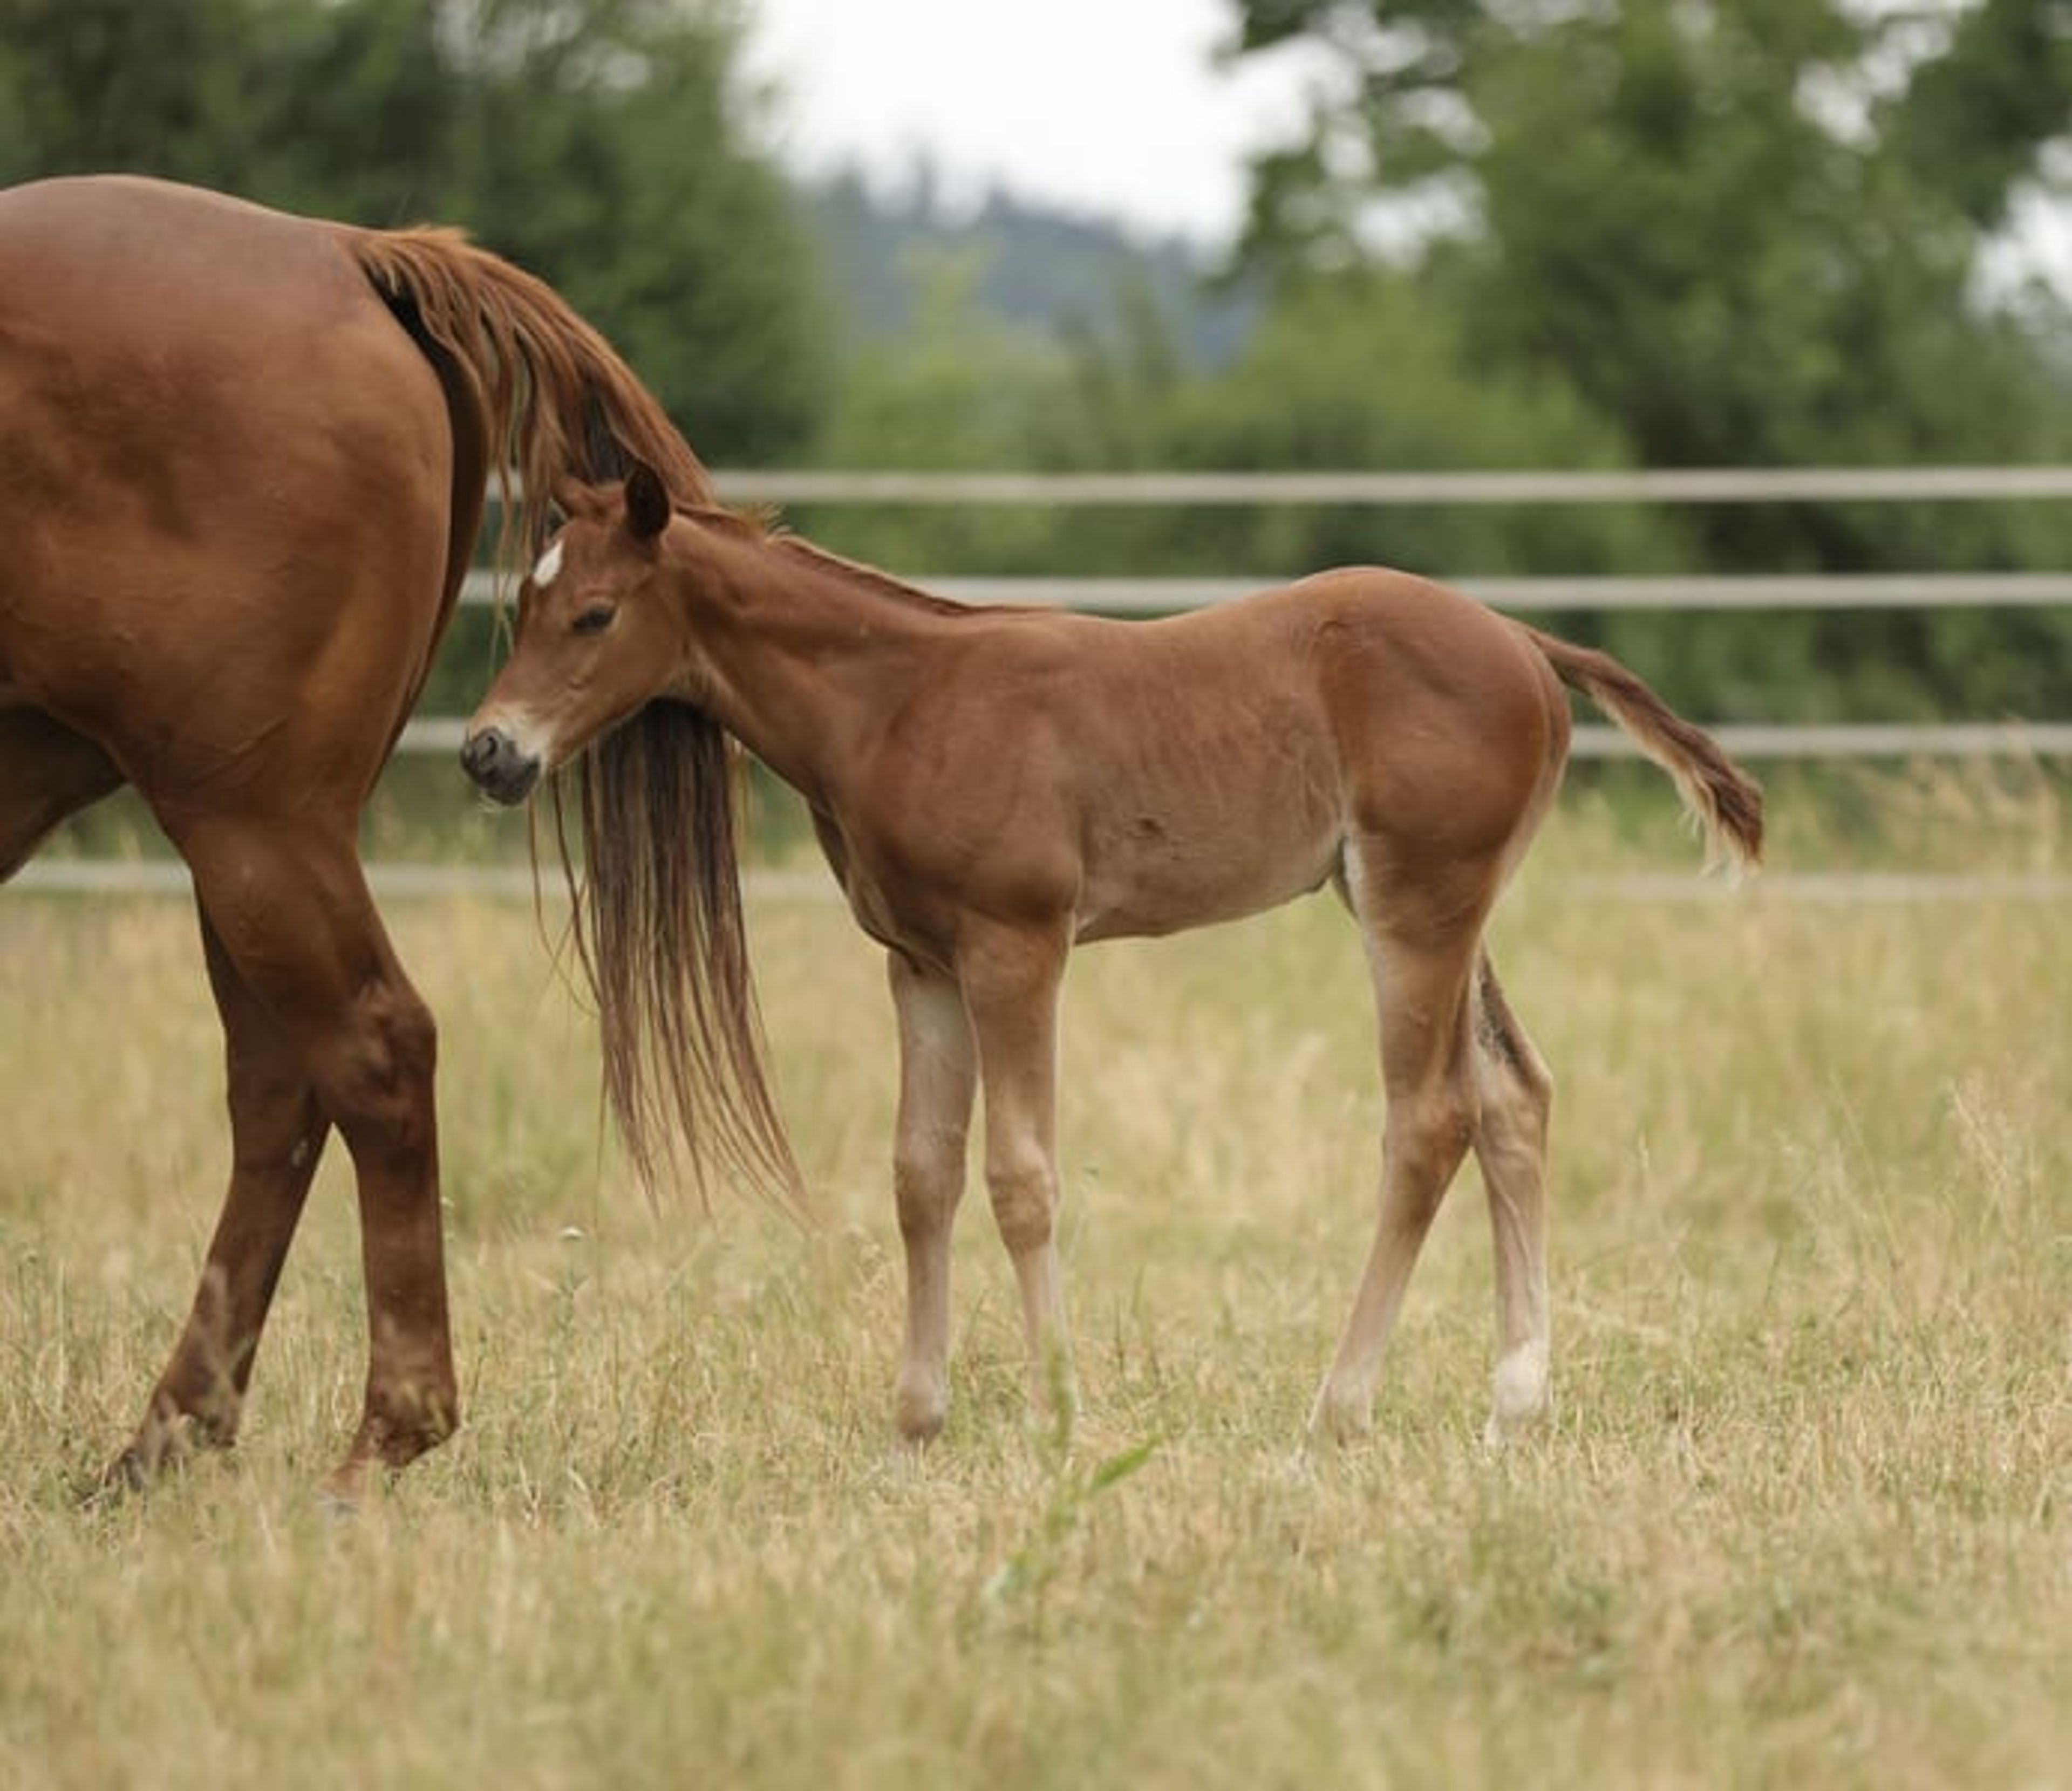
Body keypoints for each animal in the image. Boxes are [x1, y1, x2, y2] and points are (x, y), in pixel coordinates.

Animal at [0, 175, 732, 1498]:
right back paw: (170, 1438)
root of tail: (350, 253)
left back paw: (383, 1434)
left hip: (253, 820)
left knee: (372, 1051)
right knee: (282, 1087)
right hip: (251, 835)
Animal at [461, 465, 1764, 1446]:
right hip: (1432, 905)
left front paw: (1058, 1412)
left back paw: (1340, 1407)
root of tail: (1527, 643)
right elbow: (920, 1174)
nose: (488, 752)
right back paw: (1514, 1405)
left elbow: (1020, 1176)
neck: (897, 702)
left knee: (1431, 1119)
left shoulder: (1017, 946)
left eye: (594, 614)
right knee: (1513, 1097)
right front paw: (917, 1420)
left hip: (1417, 905)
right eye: (521, 605)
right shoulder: (918, 962)